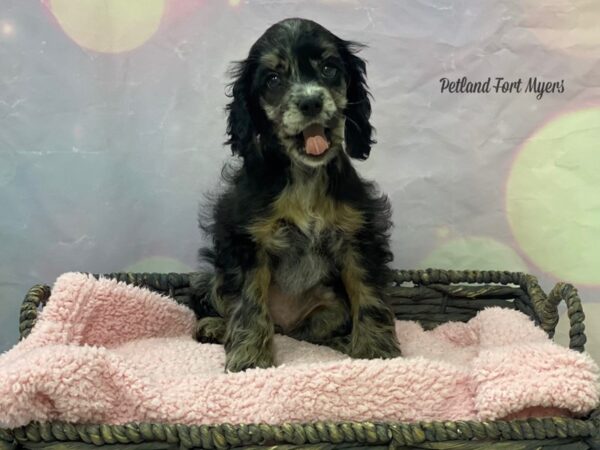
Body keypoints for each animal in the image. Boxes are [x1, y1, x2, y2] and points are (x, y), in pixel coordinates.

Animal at [195, 17, 400, 370]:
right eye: (273, 79)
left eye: (330, 68)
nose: (310, 102)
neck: (304, 176)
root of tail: (284, 325)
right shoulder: (246, 240)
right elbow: (248, 303)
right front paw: (250, 358)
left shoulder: (359, 236)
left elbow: (369, 294)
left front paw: (375, 351)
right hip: (214, 279)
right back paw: (213, 327)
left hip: (330, 308)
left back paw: (342, 342)